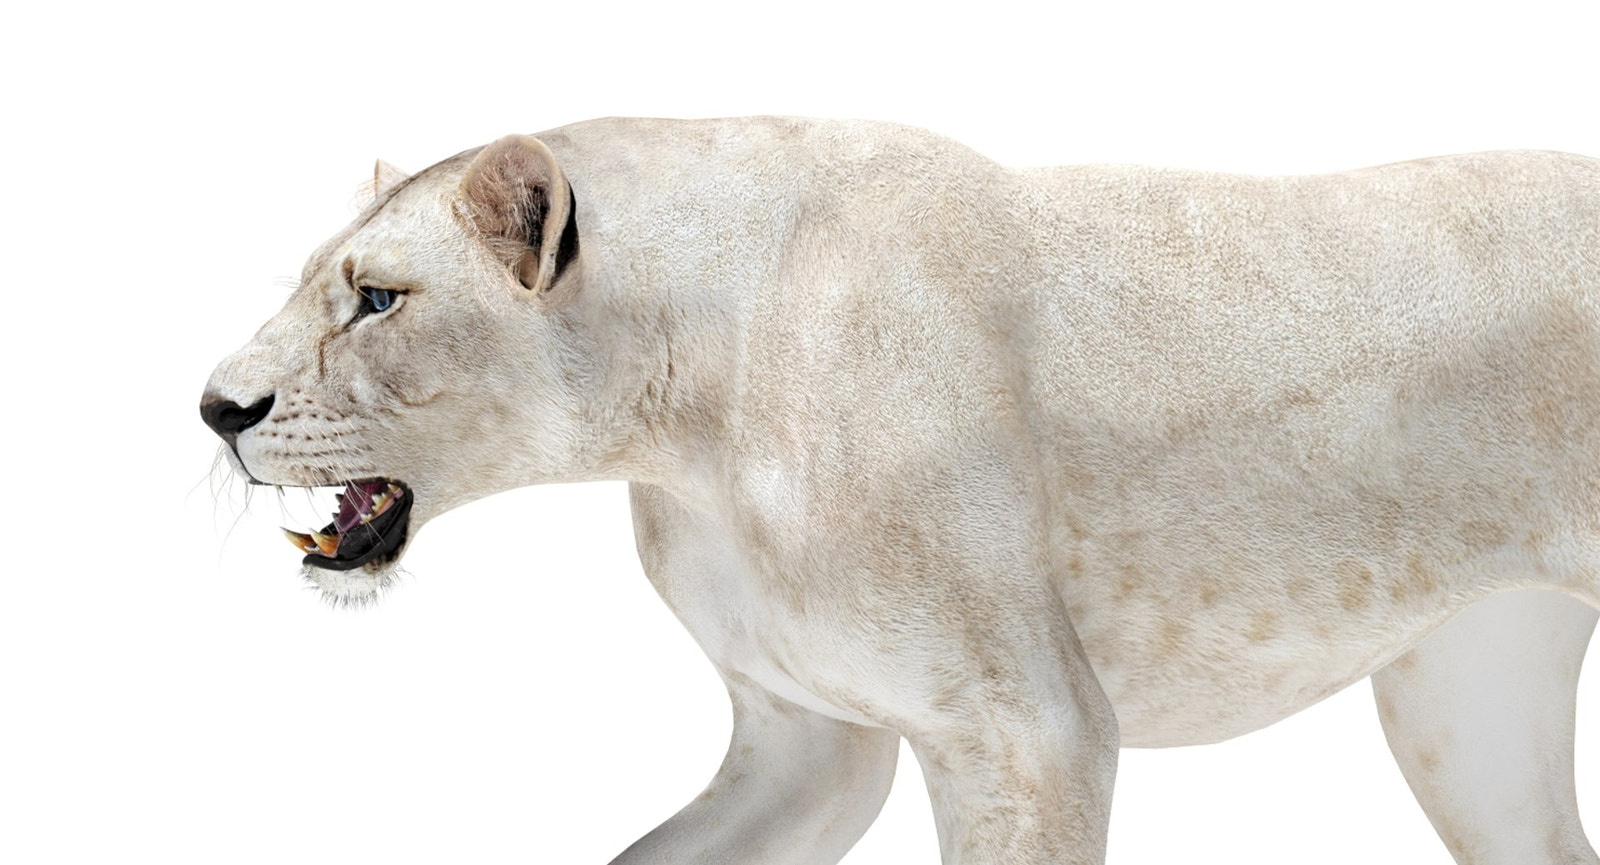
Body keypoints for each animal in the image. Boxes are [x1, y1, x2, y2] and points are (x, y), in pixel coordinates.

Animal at [201, 117, 1600, 864]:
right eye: (321, 281)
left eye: (377, 299)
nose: (217, 407)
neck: (684, 422)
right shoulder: (807, 738)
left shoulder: (1027, 727)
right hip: (1467, 700)